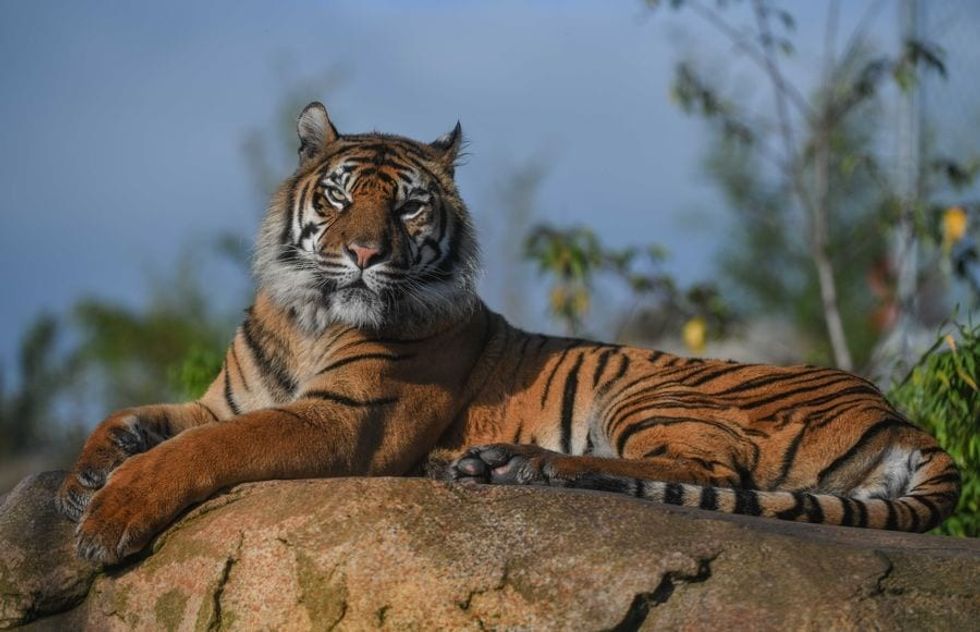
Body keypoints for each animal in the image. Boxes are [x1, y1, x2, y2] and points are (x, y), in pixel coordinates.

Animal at [56, 102, 960, 565]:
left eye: (408, 206)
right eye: (341, 194)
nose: (363, 254)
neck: (308, 308)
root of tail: (902, 417)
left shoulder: (348, 421)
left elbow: (199, 450)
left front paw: (109, 515)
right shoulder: (226, 398)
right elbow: (136, 418)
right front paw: (82, 478)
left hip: (656, 388)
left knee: (693, 470)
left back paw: (513, 464)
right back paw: (492, 465)